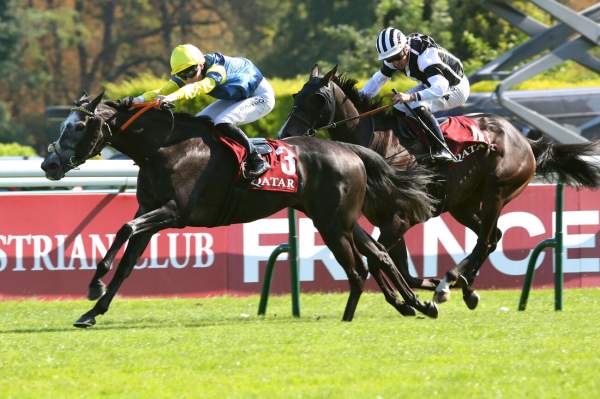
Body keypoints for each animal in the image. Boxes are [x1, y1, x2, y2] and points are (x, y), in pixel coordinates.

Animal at [39, 94, 438, 328]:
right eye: (63, 125)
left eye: (78, 126)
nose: (49, 164)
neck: (163, 148)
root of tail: (349, 149)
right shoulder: (151, 213)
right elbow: (126, 263)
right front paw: (92, 312)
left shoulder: (173, 213)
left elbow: (123, 229)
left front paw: (94, 284)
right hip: (338, 219)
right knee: (378, 253)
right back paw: (416, 304)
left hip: (333, 223)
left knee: (358, 267)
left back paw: (364, 313)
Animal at [278, 65, 600, 310]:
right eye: (296, 94)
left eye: (318, 97)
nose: (286, 133)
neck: (380, 145)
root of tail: (524, 140)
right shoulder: (386, 219)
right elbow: (397, 266)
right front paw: (418, 293)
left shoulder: (401, 218)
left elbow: (377, 257)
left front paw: (419, 296)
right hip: (463, 205)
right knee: (492, 237)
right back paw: (463, 285)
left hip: (497, 192)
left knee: (486, 240)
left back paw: (451, 283)